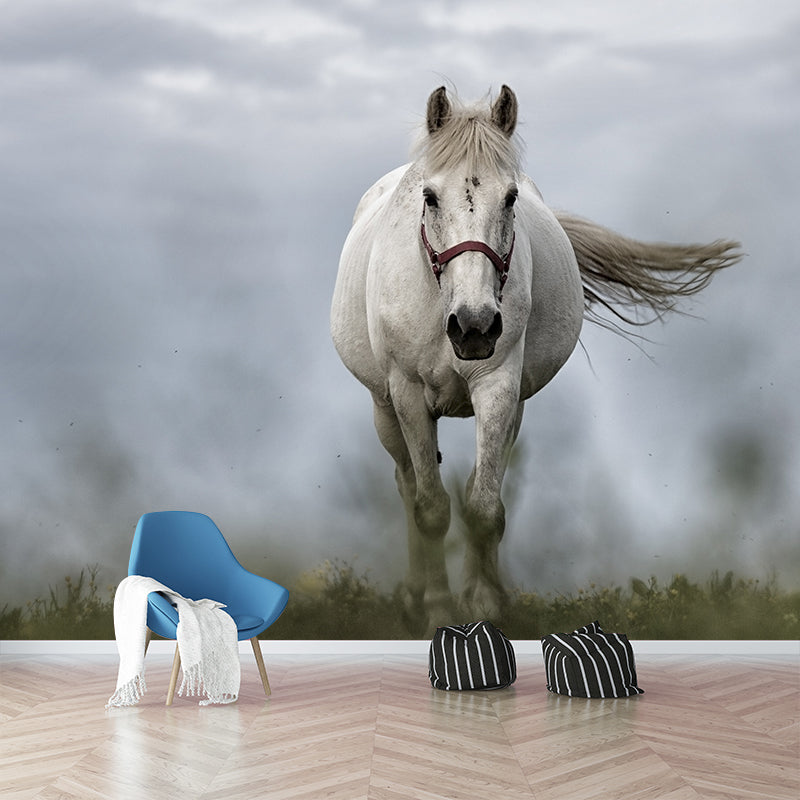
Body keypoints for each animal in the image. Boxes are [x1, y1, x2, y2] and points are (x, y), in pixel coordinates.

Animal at [330, 85, 741, 633]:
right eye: (430, 197)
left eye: (510, 198)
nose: (475, 326)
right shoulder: (408, 394)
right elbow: (431, 508)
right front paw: (436, 609)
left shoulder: (499, 387)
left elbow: (484, 507)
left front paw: (484, 605)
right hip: (384, 407)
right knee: (407, 484)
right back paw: (415, 597)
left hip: (513, 409)